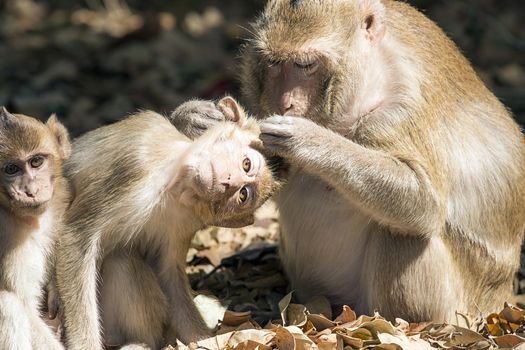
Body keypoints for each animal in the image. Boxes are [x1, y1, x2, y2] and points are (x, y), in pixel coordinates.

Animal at [55, 96, 280, 350]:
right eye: (246, 165)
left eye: (242, 195)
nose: (228, 184)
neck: (171, 184)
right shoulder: (135, 162)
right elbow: (76, 239)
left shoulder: (183, 220)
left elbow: (167, 273)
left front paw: (204, 339)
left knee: (121, 261)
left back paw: (138, 343)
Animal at [173, 0, 524, 322]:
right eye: (274, 63)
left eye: (305, 64)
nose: (285, 103)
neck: (369, 80)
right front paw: (195, 119)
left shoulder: (399, 111)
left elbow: (425, 201)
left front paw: (309, 140)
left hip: (454, 310)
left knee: (405, 234)